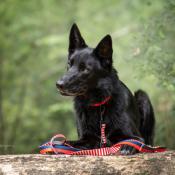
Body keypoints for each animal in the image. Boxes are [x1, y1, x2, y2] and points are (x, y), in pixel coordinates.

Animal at [55, 23, 154, 154]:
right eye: (69, 65)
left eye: (85, 69)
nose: (58, 84)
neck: (98, 105)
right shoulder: (87, 138)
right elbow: (66, 143)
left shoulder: (136, 136)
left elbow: (133, 140)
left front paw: (127, 147)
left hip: (143, 96)